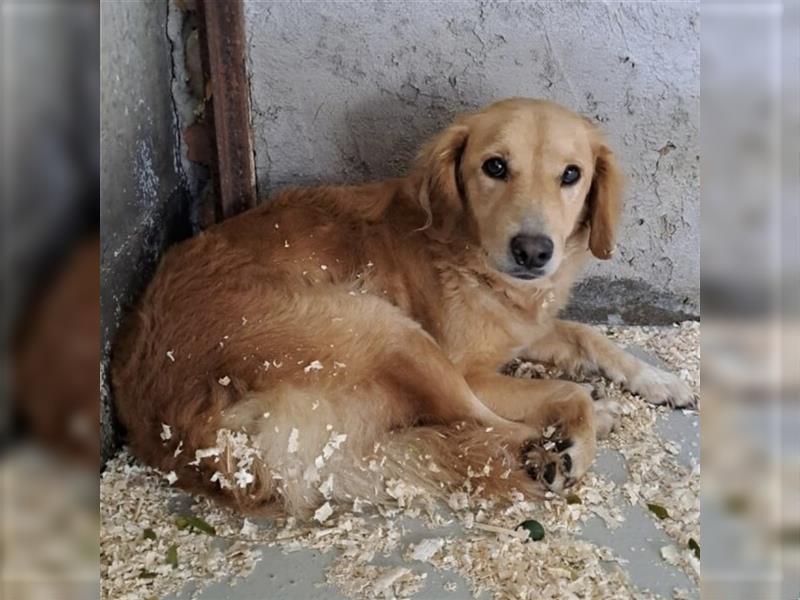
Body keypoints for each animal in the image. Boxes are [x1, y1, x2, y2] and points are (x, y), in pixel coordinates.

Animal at [111, 97, 692, 516]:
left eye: (571, 174)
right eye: (495, 166)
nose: (533, 251)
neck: (464, 250)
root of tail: (194, 434)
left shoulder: (525, 329)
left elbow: (588, 336)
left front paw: (660, 380)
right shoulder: (471, 368)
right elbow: (560, 382)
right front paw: (585, 418)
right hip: (390, 329)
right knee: (478, 418)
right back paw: (564, 439)